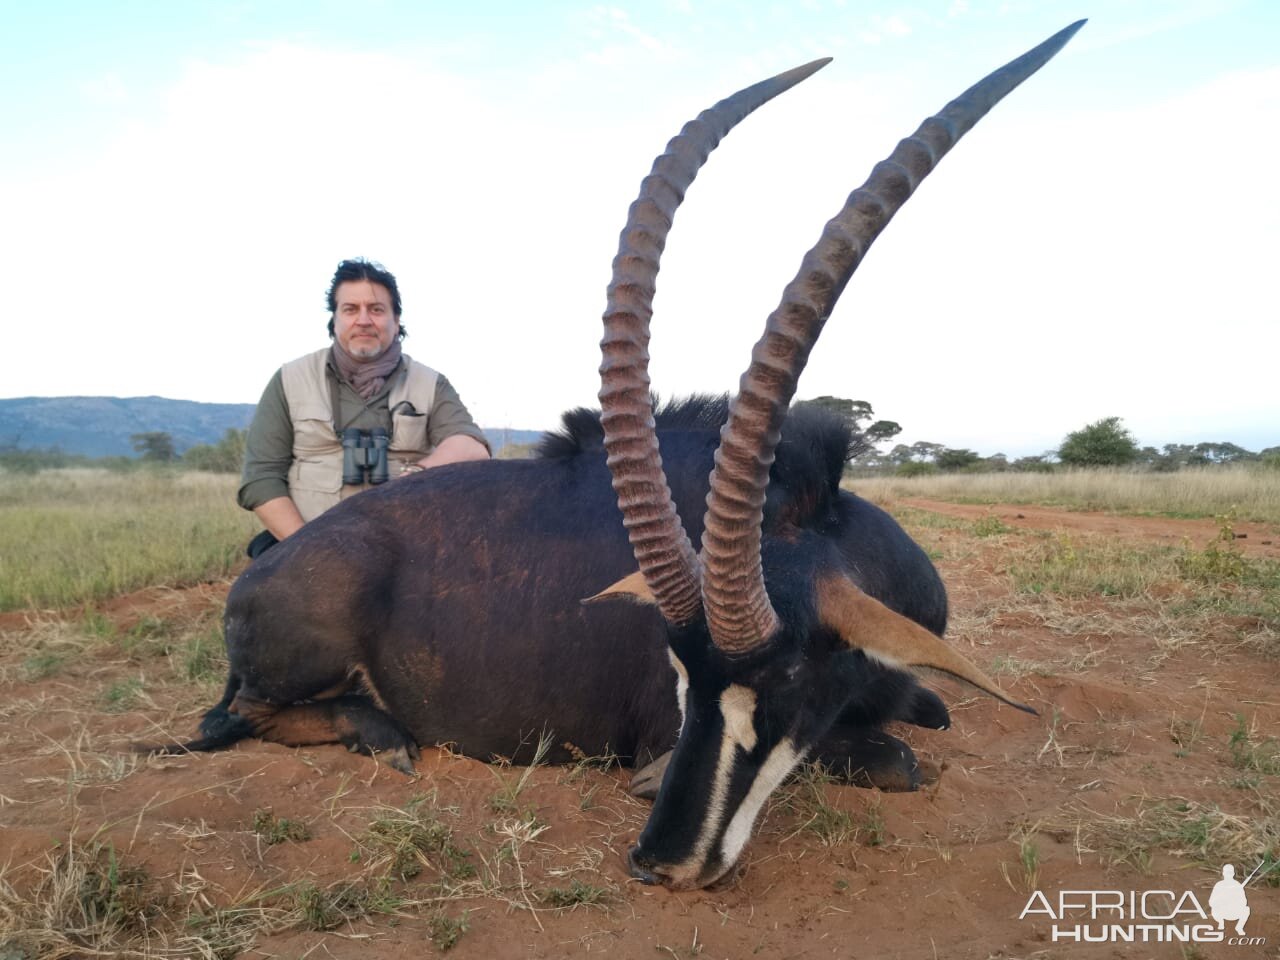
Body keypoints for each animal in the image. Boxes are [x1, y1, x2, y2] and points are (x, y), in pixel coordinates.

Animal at [157, 20, 1080, 896]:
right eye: (677, 671)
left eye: (787, 678)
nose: (660, 860)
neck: (816, 523)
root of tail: (259, 575)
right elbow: (901, 757)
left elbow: (935, 713)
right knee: (237, 719)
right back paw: (384, 736)